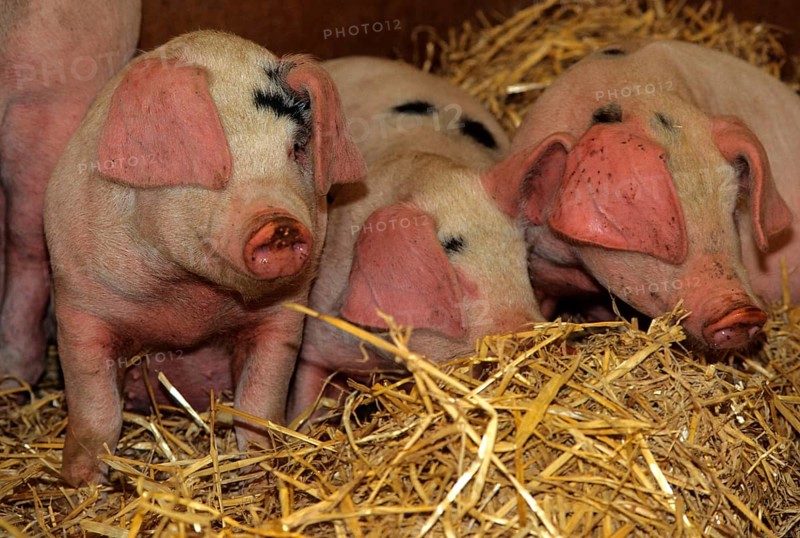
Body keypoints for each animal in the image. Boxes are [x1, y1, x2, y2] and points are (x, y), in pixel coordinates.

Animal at [44, 31, 365, 486]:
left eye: (297, 148)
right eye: (219, 158)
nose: (280, 224)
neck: (189, 300)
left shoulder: (285, 311)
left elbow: (259, 401)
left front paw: (261, 469)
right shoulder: (78, 304)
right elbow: (95, 408)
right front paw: (84, 485)